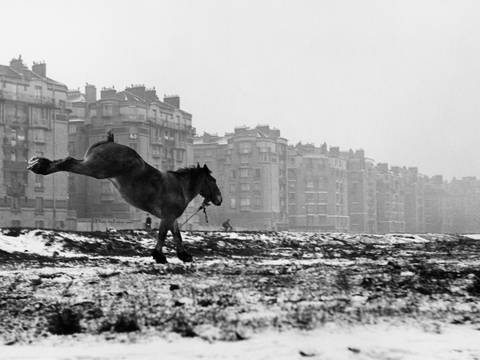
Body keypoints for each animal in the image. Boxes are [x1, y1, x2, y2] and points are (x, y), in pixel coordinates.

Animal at [28, 132, 225, 264]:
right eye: (213, 180)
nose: (219, 199)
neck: (179, 186)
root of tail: (109, 142)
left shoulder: (171, 217)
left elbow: (177, 235)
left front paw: (183, 255)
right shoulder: (167, 216)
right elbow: (163, 235)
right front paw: (159, 256)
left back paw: (39, 164)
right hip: (95, 169)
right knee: (68, 162)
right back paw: (39, 166)